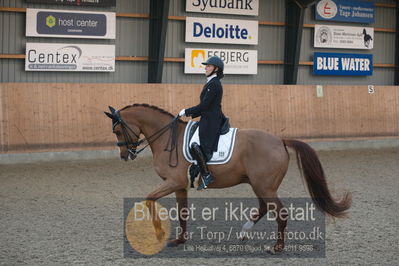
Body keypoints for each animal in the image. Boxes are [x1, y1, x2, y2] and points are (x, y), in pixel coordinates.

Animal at [104, 103, 352, 251]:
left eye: (117, 131)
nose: (125, 156)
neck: (167, 138)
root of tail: (280, 141)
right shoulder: (180, 186)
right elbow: (182, 212)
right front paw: (179, 239)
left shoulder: (173, 182)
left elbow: (149, 199)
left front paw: (159, 233)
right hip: (259, 185)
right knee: (264, 208)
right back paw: (244, 232)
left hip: (265, 187)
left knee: (280, 213)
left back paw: (277, 247)